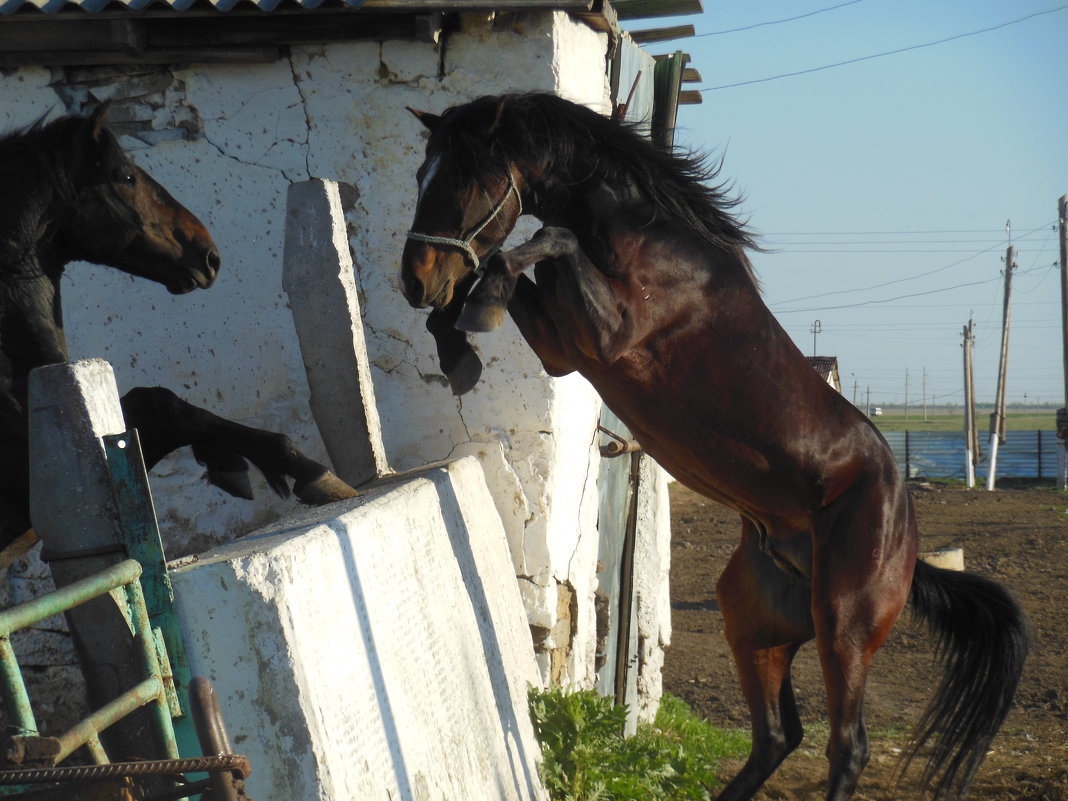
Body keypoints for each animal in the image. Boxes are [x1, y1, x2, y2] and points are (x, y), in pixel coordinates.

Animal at [401, 95, 1025, 801]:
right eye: (422, 175)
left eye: (463, 180)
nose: (414, 282)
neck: (646, 239)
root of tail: (907, 539)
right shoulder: (566, 346)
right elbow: (518, 266)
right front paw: (456, 339)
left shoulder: (604, 334)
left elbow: (539, 246)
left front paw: (474, 310)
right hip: (755, 620)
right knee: (778, 735)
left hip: (846, 624)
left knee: (847, 746)